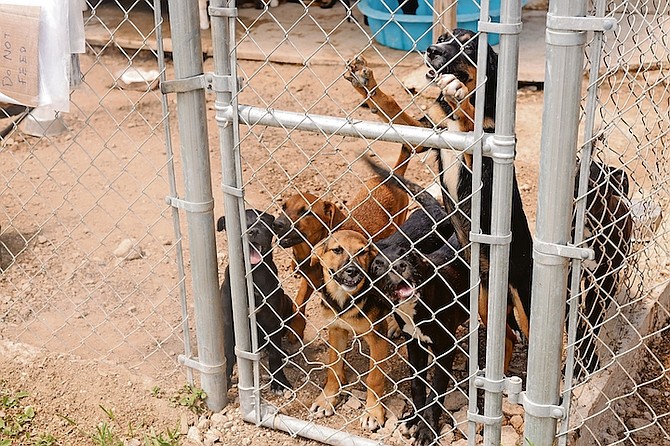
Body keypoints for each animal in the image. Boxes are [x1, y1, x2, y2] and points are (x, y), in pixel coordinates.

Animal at [220, 210, 294, 394]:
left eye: (262, 222)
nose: (252, 231)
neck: (254, 274)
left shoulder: (273, 321)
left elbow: (275, 354)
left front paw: (279, 382)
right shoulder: (229, 322)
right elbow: (229, 352)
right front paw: (225, 381)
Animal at [274, 145, 414, 340]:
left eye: (306, 212)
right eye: (284, 207)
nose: (276, 224)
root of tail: (394, 173)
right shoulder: (308, 281)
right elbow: (299, 301)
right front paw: (296, 328)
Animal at [310, 228, 394, 430]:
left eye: (362, 252)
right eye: (337, 250)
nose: (353, 271)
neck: (345, 301)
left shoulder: (378, 338)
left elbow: (374, 378)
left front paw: (373, 412)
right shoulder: (337, 331)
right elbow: (333, 367)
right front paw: (327, 399)